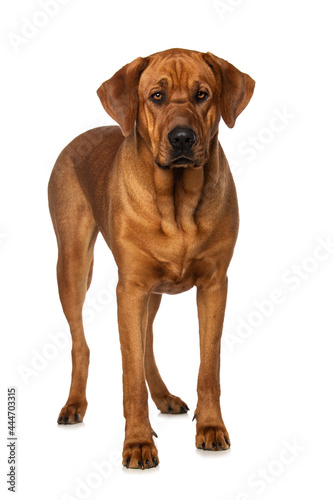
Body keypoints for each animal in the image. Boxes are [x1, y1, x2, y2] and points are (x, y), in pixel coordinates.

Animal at [47, 47, 254, 468]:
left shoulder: (214, 285)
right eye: (156, 97)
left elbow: (208, 367)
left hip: (153, 292)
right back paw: (74, 404)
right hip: (73, 265)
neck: (177, 201)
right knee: (81, 343)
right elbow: (129, 376)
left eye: (202, 95)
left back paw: (163, 397)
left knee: (145, 344)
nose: (182, 138)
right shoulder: (130, 288)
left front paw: (211, 428)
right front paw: (139, 443)